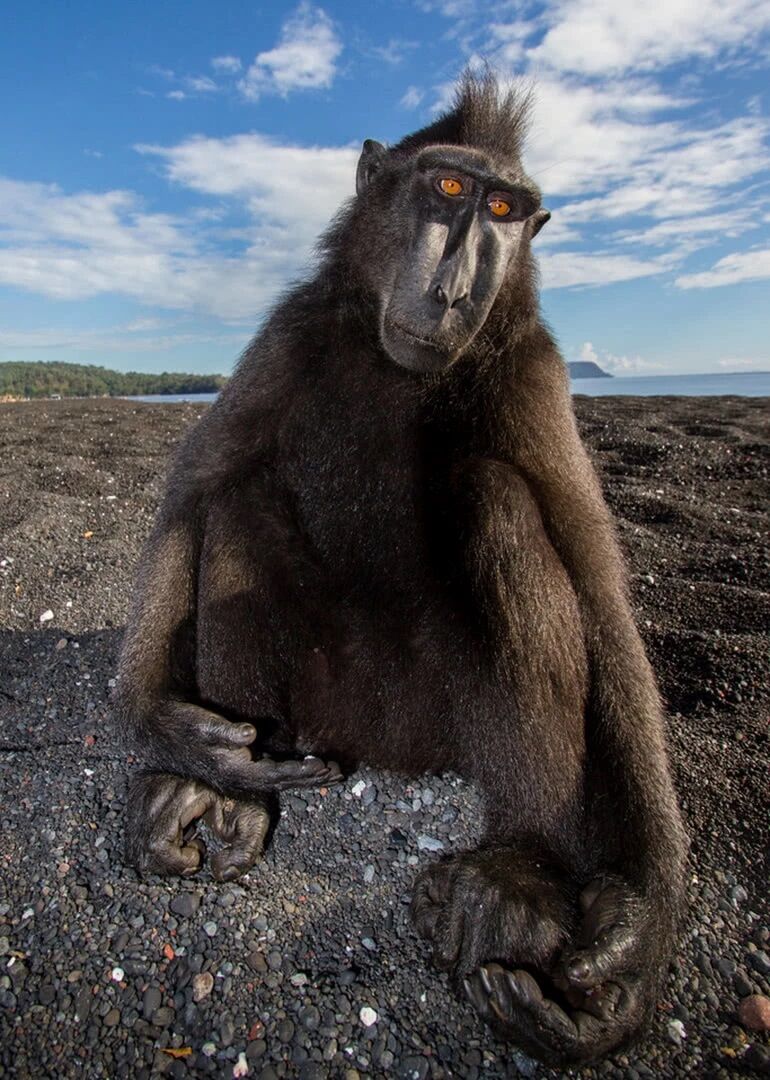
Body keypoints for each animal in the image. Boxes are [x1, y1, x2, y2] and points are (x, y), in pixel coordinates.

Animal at [117, 73, 686, 1062]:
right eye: (449, 190)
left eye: (503, 211)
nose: (456, 290)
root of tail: (372, 748)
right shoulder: (291, 333)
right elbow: (197, 490)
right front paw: (175, 730)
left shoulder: (536, 373)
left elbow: (598, 590)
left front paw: (633, 941)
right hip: (322, 703)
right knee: (240, 503)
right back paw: (233, 795)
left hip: (434, 718)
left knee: (501, 501)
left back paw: (516, 872)